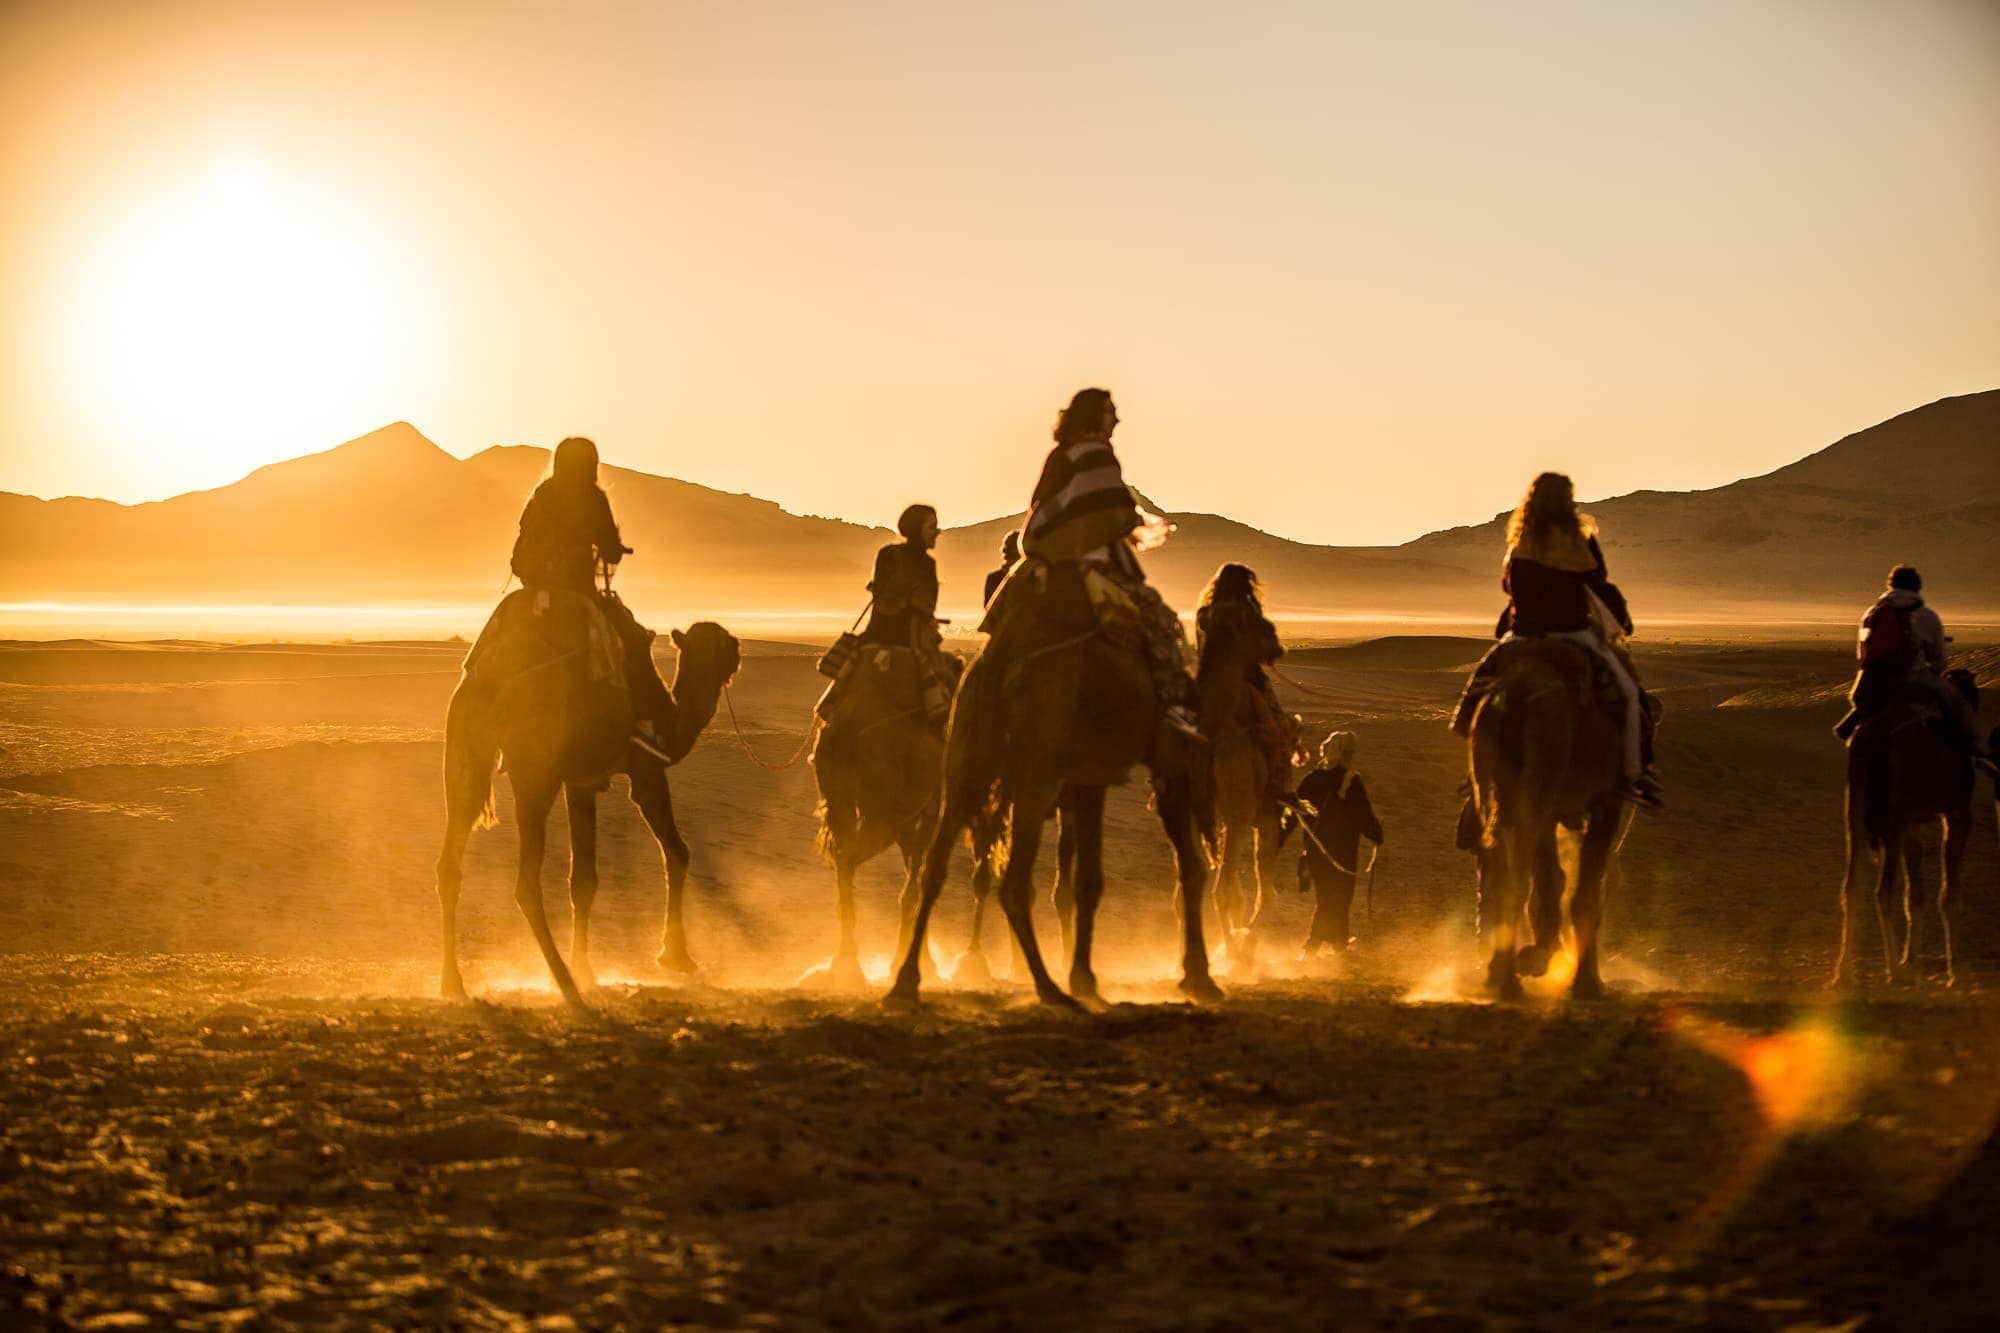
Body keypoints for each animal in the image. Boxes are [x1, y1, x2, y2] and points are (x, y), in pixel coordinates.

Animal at [434, 592, 740, 1008]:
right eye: (725, 643)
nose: (739, 652)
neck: (673, 721)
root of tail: (492, 678)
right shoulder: (646, 769)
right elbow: (677, 852)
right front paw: (676, 957)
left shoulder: (580, 783)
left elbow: (583, 879)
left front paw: (587, 968)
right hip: (535, 771)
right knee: (525, 884)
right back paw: (564, 982)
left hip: (463, 752)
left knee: (450, 864)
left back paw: (453, 983)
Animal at [892, 564, 1216, 1008]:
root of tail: (998, 660)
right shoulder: (1169, 762)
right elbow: (1191, 867)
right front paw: (1200, 978)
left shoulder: (1088, 778)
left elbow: (1087, 881)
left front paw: (1085, 978)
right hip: (1035, 776)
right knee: (1012, 885)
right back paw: (1047, 987)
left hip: (963, 769)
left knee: (934, 869)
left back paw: (906, 981)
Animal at [1464, 636, 1632, 996]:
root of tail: (1517, 689)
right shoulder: (1606, 802)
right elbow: (1583, 891)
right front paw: (1587, 982)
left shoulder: (1551, 810)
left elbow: (1552, 879)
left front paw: (1542, 956)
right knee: (1519, 877)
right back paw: (1509, 980)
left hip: (1492, 781)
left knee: (1502, 870)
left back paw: (1499, 973)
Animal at [1832, 668, 1984, 980]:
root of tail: (1878, 737)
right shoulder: (1957, 815)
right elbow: (1948, 896)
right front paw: (1956, 971)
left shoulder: (1913, 825)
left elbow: (1915, 896)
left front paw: (1910, 959)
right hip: (1894, 818)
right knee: (1883, 890)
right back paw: (1892, 972)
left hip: (1857, 812)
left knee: (1852, 887)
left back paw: (1844, 972)